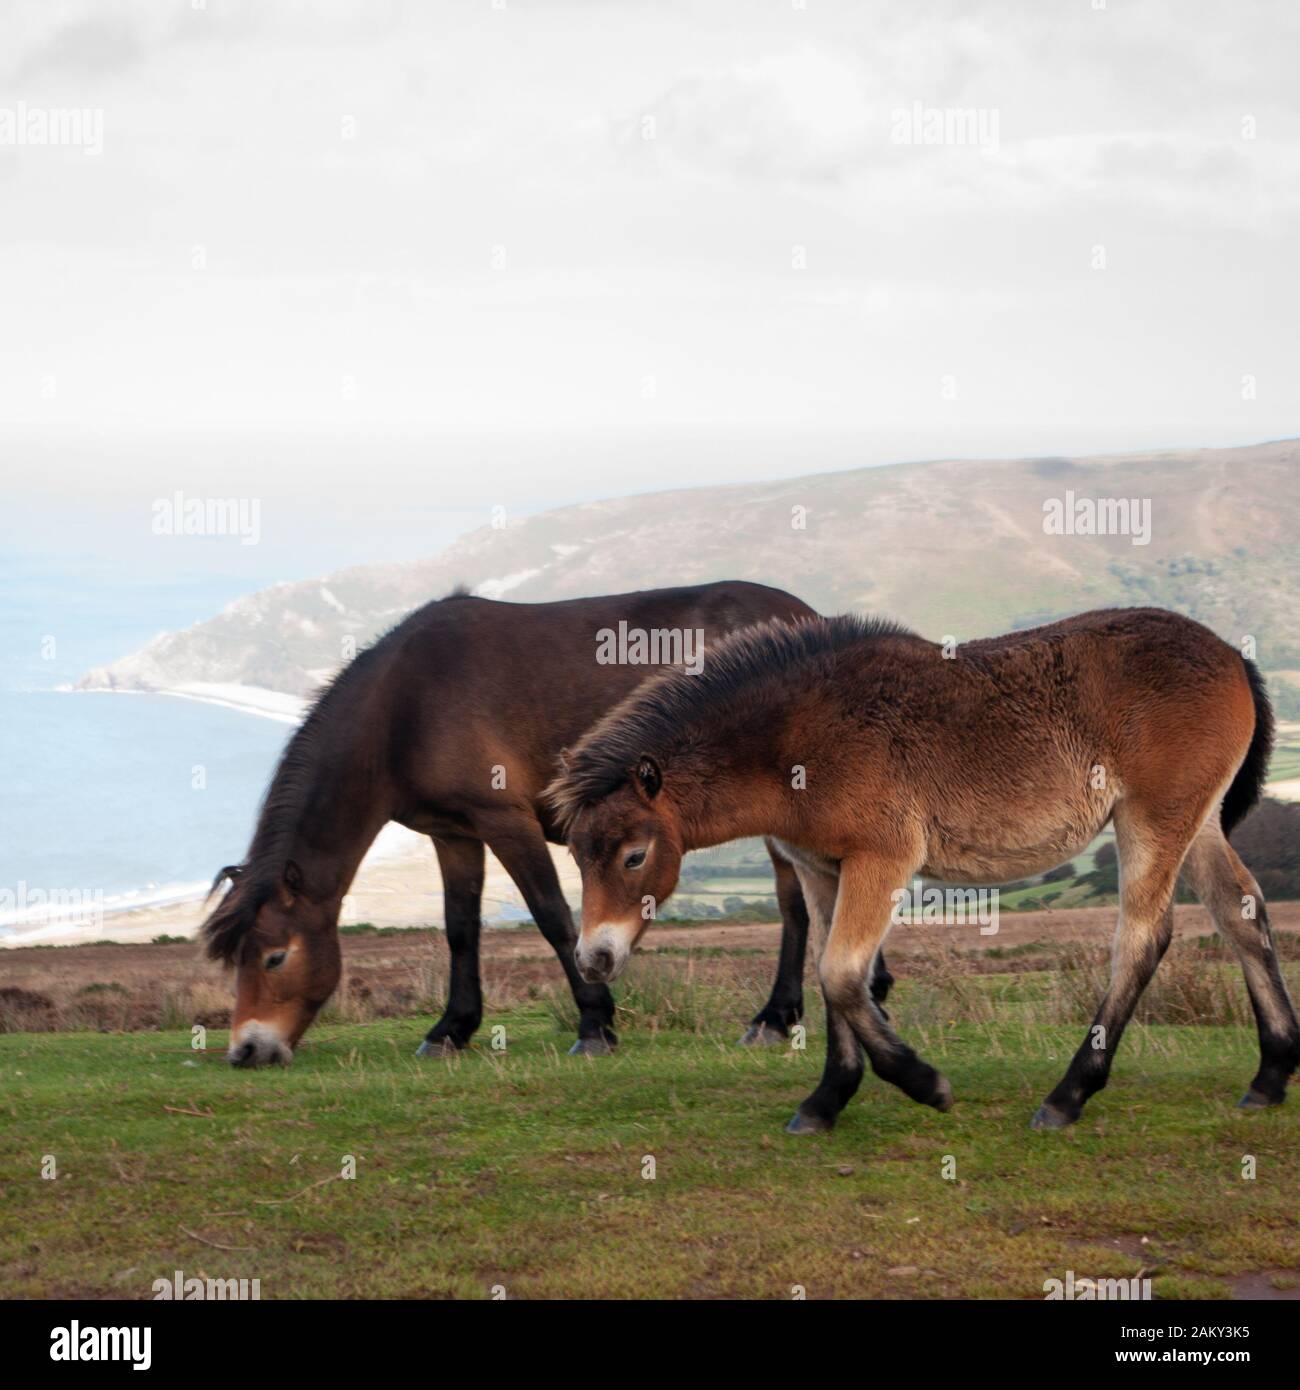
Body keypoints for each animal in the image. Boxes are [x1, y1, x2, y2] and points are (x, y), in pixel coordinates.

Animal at [202, 581, 895, 1067]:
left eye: (274, 957)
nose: (246, 1050)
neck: (404, 705)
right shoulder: (454, 833)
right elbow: (460, 929)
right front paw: (452, 1028)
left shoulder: (506, 821)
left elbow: (553, 917)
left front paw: (595, 1024)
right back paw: (873, 986)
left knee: (795, 903)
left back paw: (776, 1016)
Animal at [547, 608, 1300, 1128]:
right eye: (576, 854)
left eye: (635, 855)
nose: (595, 958)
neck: (799, 736)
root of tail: (1232, 656)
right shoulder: (822, 870)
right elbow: (830, 976)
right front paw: (825, 1101)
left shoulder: (883, 859)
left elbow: (843, 974)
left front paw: (923, 1083)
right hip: (1196, 824)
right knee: (1242, 913)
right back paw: (1270, 1075)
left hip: (1152, 820)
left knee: (1143, 939)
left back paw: (1067, 1095)